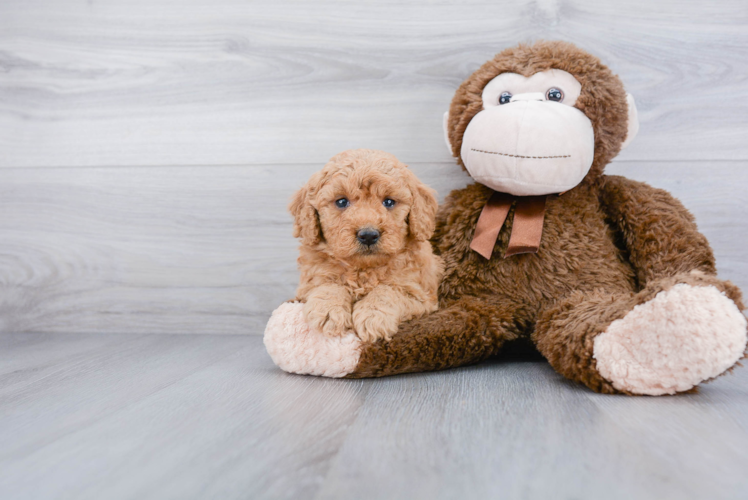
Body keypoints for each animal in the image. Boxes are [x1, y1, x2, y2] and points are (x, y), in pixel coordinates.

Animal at [290, 148, 444, 344]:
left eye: (389, 202)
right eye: (341, 202)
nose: (369, 235)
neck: (363, 269)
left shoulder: (421, 294)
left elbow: (388, 291)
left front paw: (373, 316)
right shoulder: (308, 283)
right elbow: (327, 284)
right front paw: (328, 311)